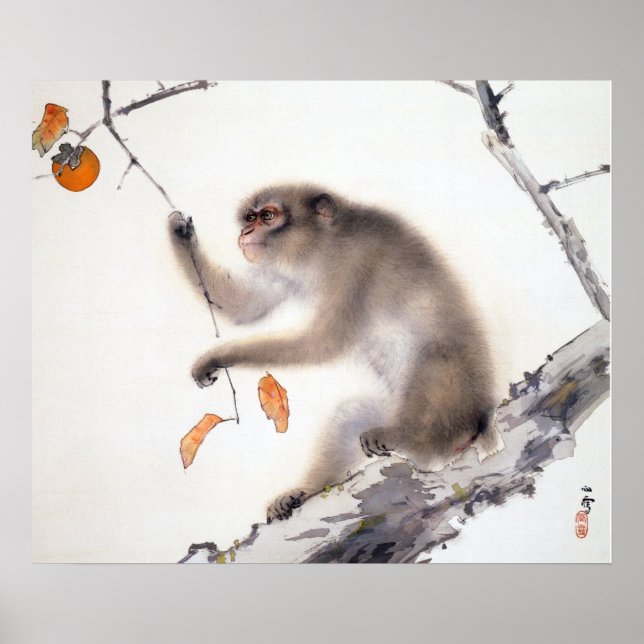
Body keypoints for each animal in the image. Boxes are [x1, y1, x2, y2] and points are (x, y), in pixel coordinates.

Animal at [169, 184, 495, 523]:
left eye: (267, 216)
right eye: (250, 217)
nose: (246, 231)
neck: (324, 246)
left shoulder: (356, 264)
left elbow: (323, 343)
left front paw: (218, 355)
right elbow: (244, 306)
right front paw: (181, 234)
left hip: (457, 406)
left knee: (434, 361)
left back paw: (411, 438)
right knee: (351, 415)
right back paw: (305, 492)